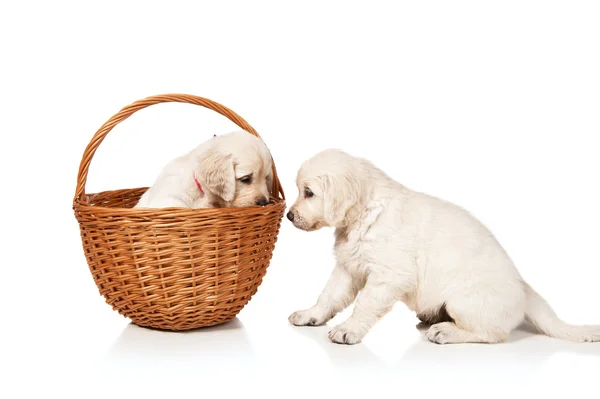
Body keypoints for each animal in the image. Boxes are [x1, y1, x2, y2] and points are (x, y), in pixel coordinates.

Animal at [288, 148, 600, 346]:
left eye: (309, 193)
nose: (289, 216)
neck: (364, 215)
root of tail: (525, 288)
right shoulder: (348, 267)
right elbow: (328, 296)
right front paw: (309, 315)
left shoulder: (389, 276)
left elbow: (365, 303)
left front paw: (348, 330)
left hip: (463, 300)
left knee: (493, 333)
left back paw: (445, 332)